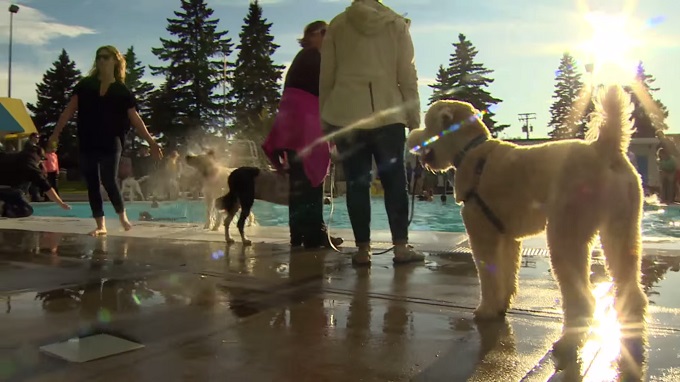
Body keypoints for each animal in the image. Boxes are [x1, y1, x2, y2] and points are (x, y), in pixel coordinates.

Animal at [406, 83, 644, 356]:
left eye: (428, 124)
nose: (412, 140)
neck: (471, 151)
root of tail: (605, 148)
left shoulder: (482, 234)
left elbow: (488, 277)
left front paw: (487, 309)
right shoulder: (508, 238)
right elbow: (507, 276)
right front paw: (501, 305)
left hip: (566, 236)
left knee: (584, 298)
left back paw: (568, 342)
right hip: (622, 231)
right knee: (631, 289)